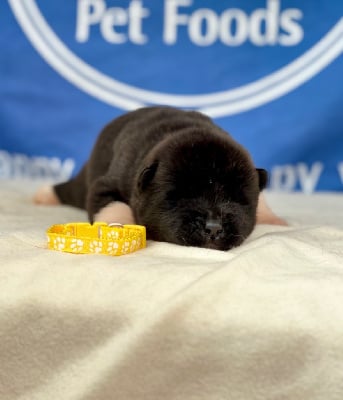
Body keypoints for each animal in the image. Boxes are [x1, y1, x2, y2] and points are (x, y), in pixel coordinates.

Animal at [35, 106, 288, 250]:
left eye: (236, 199)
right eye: (183, 195)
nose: (214, 228)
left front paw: (272, 218)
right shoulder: (104, 186)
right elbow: (115, 207)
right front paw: (120, 228)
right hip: (85, 179)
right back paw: (44, 195)